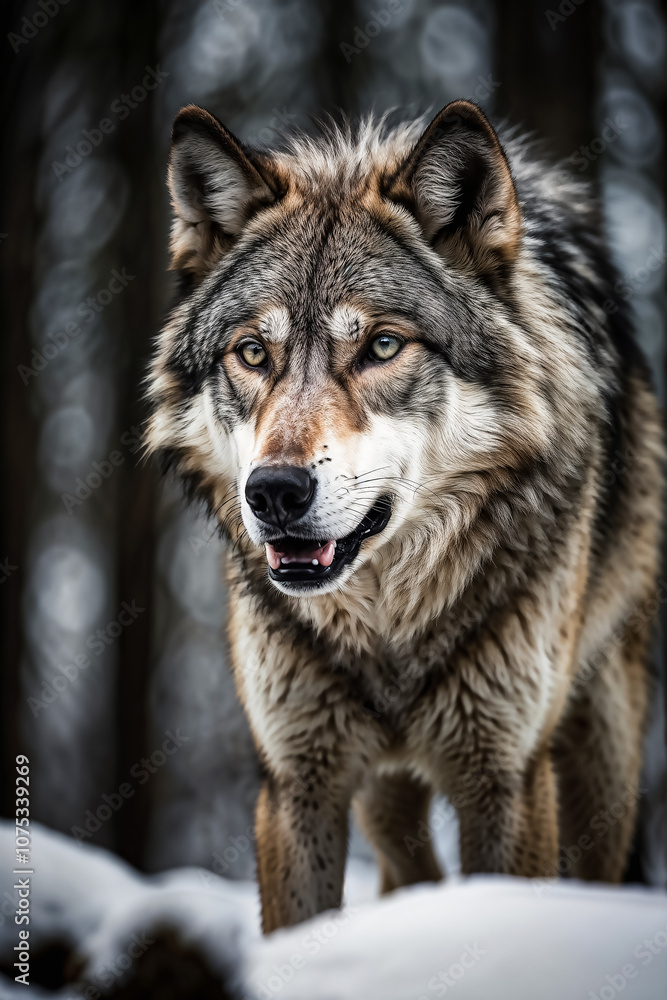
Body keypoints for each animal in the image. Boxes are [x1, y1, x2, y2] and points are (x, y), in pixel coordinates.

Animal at [145, 99, 664, 933]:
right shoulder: (297, 784)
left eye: (382, 345)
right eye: (252, 353)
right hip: (386, 800)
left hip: (603, 753)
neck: (390, 634)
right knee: (407, 871)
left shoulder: (507, 780)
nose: (273, 492)